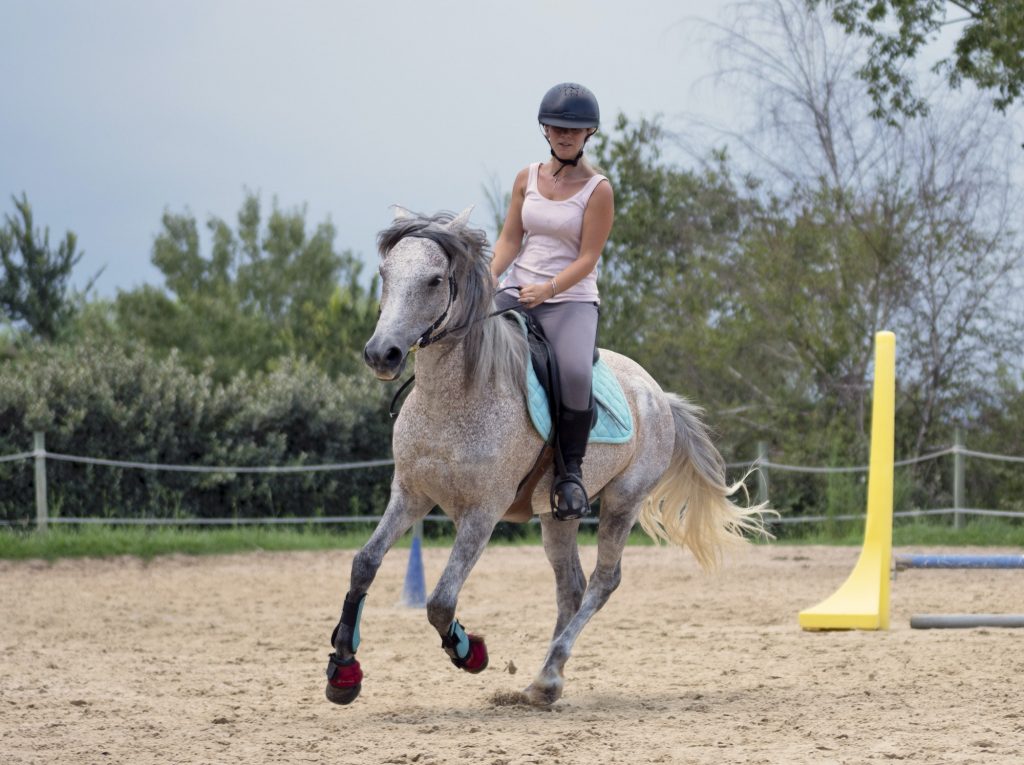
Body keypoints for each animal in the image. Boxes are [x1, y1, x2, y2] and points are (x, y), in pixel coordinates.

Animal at [323, 207, 765, 704]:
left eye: (435, 280)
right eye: (384, 274)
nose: (382, 354)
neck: (454, 399)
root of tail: (658, 394)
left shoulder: (483, 511)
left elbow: (440, 600)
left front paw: (469, 652)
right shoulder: (410, 495)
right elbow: (364, 563)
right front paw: (343, 668)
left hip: (622, 502)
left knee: (603, 581)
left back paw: (549, 673)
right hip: (557, 515)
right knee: (571, 586)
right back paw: (546, 679)